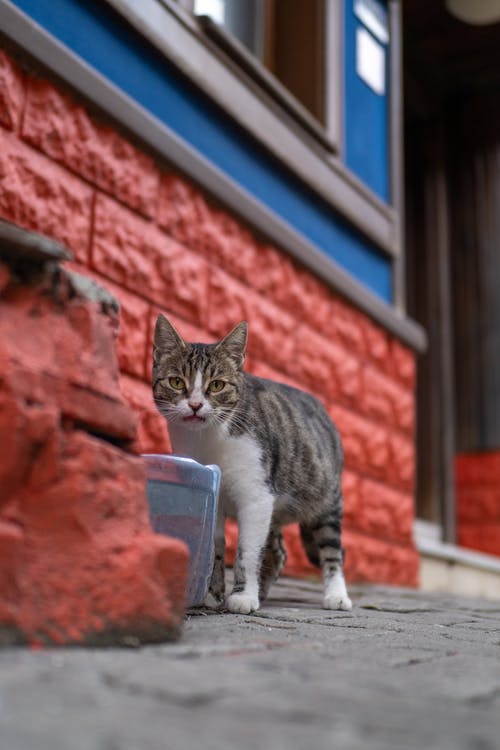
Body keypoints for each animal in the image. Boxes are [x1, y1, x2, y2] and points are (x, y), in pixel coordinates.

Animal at [152, 314, 352, 612]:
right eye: (176, 382)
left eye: (217, 385)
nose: (196, 405)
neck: (208, 439)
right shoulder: (215, 495)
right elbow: (216, 547)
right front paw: (213, 594)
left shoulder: (256, 495)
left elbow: (247, 551)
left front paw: (243, 596)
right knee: (278, 551)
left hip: (326, 500)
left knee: (331, 550)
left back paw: (336, 595)